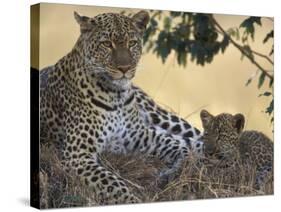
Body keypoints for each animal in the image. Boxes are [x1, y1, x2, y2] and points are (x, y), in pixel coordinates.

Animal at [39, 10, 202, 205]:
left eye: (132, 43)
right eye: (107, 44)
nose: (125, 68)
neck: (116, 95)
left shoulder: (141, 135)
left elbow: (177, 147)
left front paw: (178, 166)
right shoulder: (77, 155)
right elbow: (111, 183)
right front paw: (132, 200)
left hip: (161, 116)